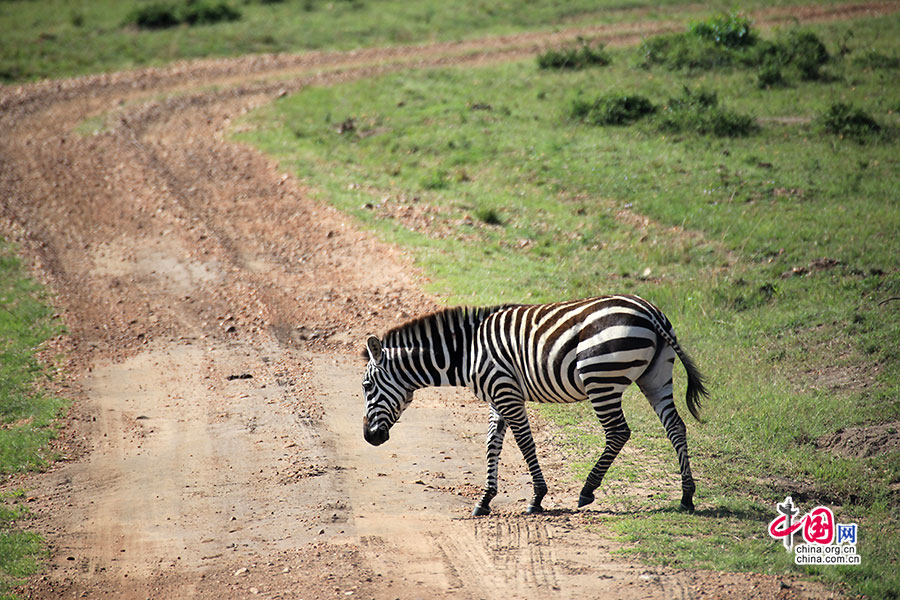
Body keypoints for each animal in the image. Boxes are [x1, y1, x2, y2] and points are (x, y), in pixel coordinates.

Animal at [362, 296, 708, 516]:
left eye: (366, 387)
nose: (369, 438)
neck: (466, 352)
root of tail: (650, 312)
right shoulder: (498, 395)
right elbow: (492, 443)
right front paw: (485, 500)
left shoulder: (506, 393)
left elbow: (525, 443)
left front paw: (537, 497)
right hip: (655, 377)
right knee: (676, 427)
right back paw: (687, 496)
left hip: (601, 379)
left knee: (618, 432)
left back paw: (587, 490)